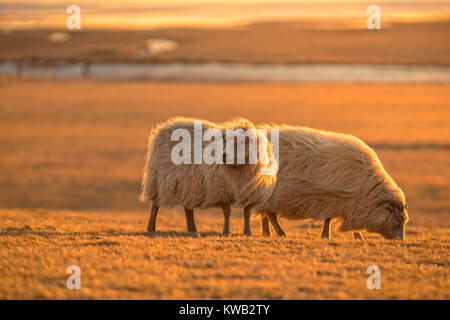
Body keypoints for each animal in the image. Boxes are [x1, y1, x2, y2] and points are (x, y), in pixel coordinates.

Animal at [140, 117, 278, 235]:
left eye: (240, 143)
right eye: (225, 142)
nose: (223, 156)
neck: (238, 170)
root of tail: (164, 126)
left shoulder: (251, 193)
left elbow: (246, 213)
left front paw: (247, 232)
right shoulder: (222, 191)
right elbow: (227, 213)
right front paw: (226, 231)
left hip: (188, 184)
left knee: (188, 208)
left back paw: (192, 229)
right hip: (158, 180)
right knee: (155, 204)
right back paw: (151, 227)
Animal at [255, 125, 410, 240]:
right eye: (399, 220)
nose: (400, 241)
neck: (367, 189)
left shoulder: (349, 205)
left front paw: (358, 236)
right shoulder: (333, 201)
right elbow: (329, 219)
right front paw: (327, 235)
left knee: (266, 214)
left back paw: (267, 233)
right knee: (270, 215)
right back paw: (280, 233)